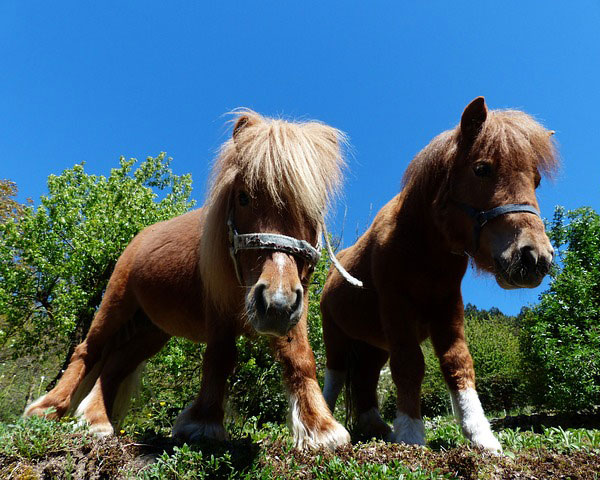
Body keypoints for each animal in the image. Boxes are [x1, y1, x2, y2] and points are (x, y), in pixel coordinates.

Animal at [24, 109, 352, 450]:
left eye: (313, 207)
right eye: (243, 197)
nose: (275, 304)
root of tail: (140, 237)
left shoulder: (294, 305)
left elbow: (300, 358)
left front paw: (319, 427)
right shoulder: (219, 309)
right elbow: (220, 357)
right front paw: (203, 423)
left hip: (150, 329)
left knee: (115, 365)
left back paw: (96, 419)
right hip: (117, 303)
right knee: (88, 350)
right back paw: (48, 408)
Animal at [322, 98, 560, 454]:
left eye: (537, 180)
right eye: (482, 169)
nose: (536, 257)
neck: (420, 246)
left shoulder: (447, 308)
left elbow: (457, 362)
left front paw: (480, 436)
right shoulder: (397, 308)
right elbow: (410, 365)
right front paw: (410, 434)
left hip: (373, 345)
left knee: (365, 378)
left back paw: (375, 426)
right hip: (335, 336)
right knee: (334, 376)